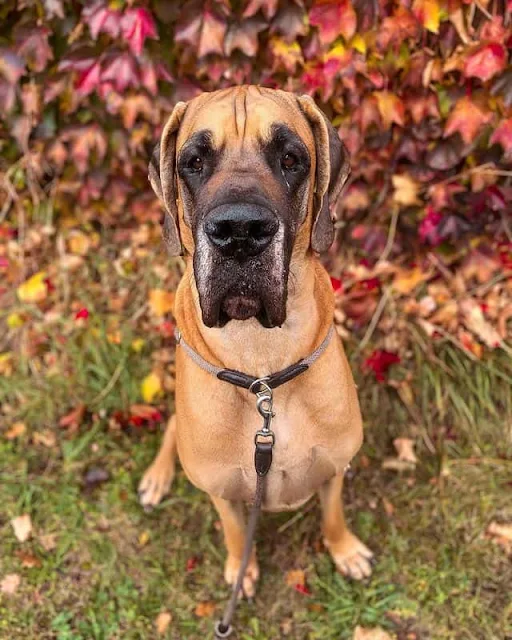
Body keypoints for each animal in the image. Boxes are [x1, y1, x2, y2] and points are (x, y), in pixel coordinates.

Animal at [138, 85, 374, 596]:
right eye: (194, 162)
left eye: (290, 159)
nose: (240, 232)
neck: (262, 369)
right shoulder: (222, 491)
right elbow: (232, 529)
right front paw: (239, 570)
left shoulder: (336, 467)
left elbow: (332, 515)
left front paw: (344, 550)